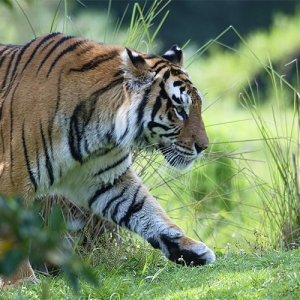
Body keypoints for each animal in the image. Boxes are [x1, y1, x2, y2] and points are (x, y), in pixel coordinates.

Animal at [0, 32, 216, 288]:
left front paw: (189, 250)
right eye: (180, 110)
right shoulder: (12, 178)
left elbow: (146, 209)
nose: (203, 146)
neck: (100, 131)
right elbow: (13, 233)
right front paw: (20, 281)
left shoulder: (106, 179)